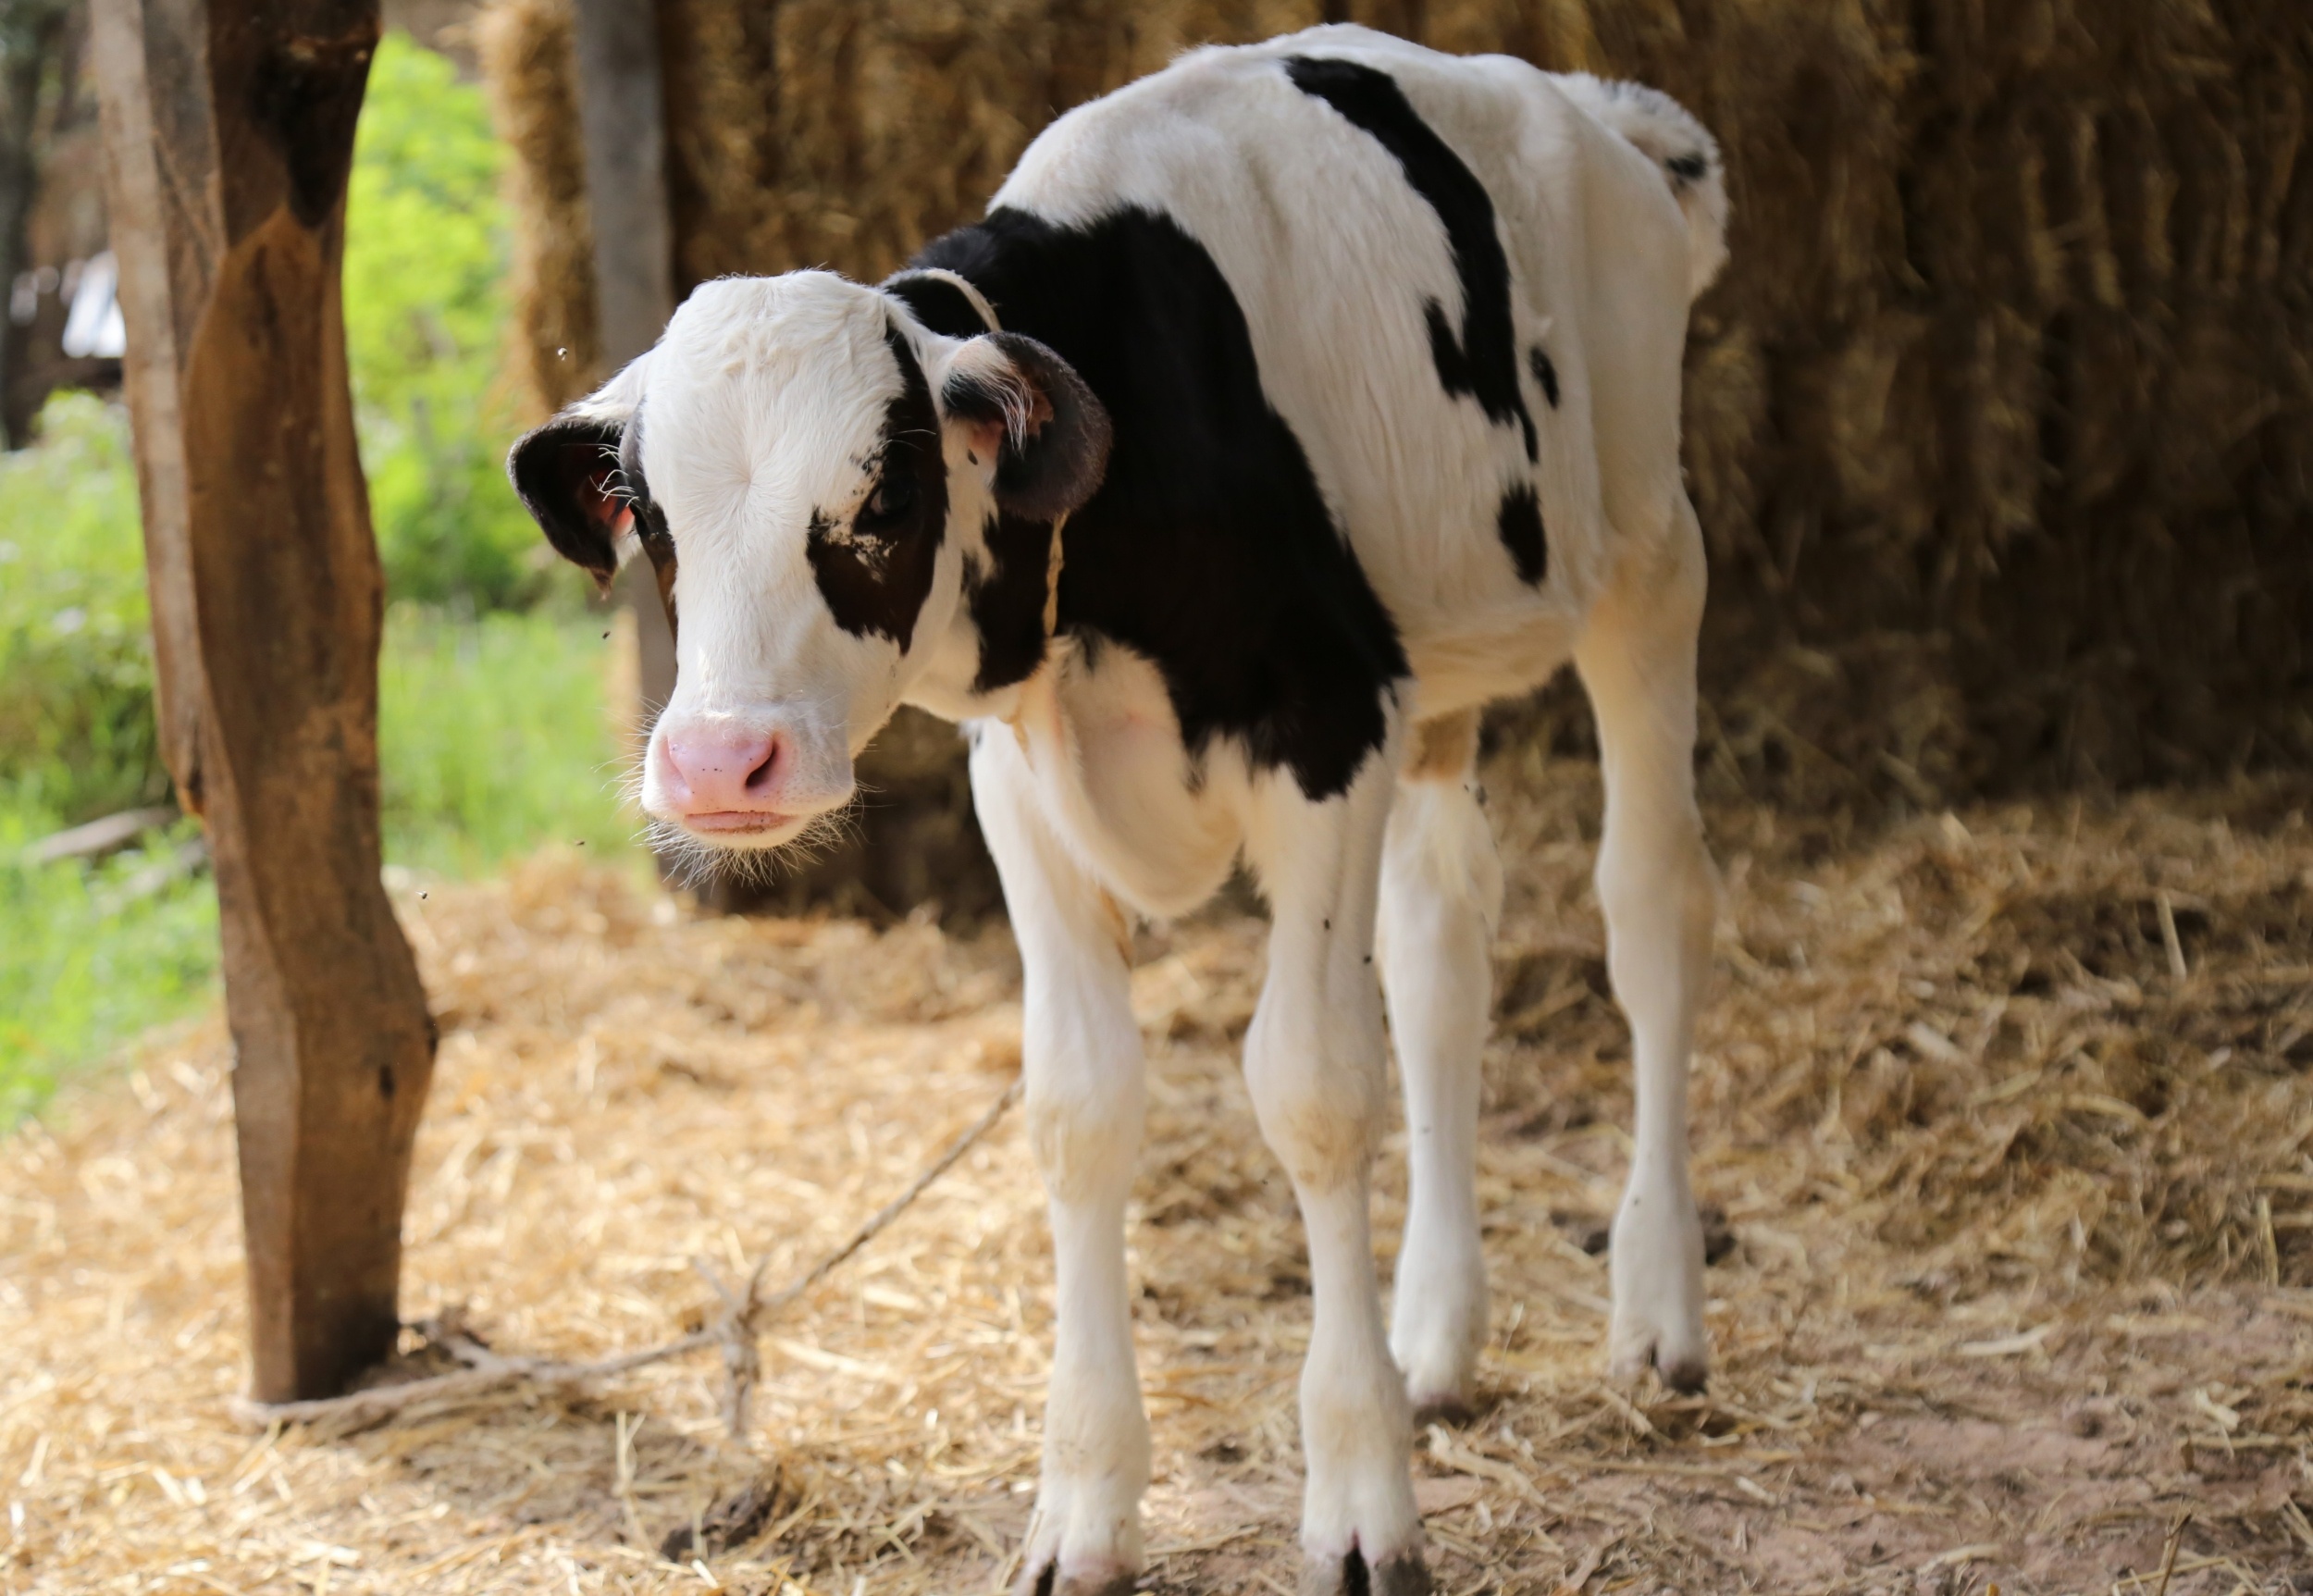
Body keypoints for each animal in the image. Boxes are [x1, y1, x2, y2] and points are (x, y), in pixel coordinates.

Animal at [509, 25, 1726, 1596]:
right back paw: (1436, 1339)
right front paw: (1082, 1511)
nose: (721, 765)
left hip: (1650, 563)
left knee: (1651, 912)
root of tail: (1597, 116)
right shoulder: (1031, 785)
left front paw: (1359, 1501)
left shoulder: (1325, 727)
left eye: (885, 497)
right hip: (1437, 677)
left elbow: (1314, 1088)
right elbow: (1080, 1107)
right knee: (1442, 954)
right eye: (648, 518)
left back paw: (1658, 1311)